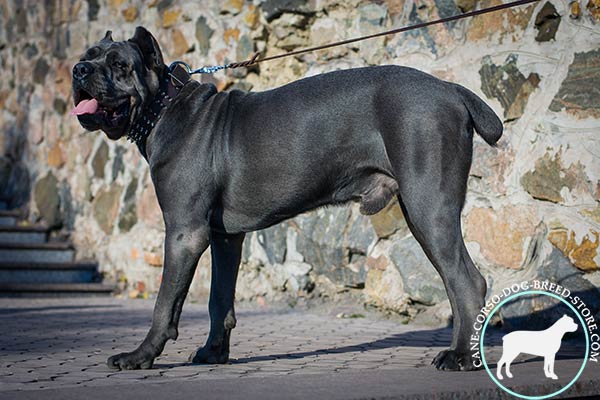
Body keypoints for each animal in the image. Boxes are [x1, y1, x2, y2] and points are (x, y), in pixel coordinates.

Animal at [69, 27, 502, 372]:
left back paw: (461, 356)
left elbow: (164, 303)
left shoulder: (184, 233)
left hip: (429, 206)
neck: (163, 108)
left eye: (118, 64)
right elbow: (218, 300)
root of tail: (451, 89)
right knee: (453, 281)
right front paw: (213, 353)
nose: (79, 70)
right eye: (88, 55)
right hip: (422, 211)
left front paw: (140, 355)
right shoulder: (224, 237)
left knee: (467, 281)